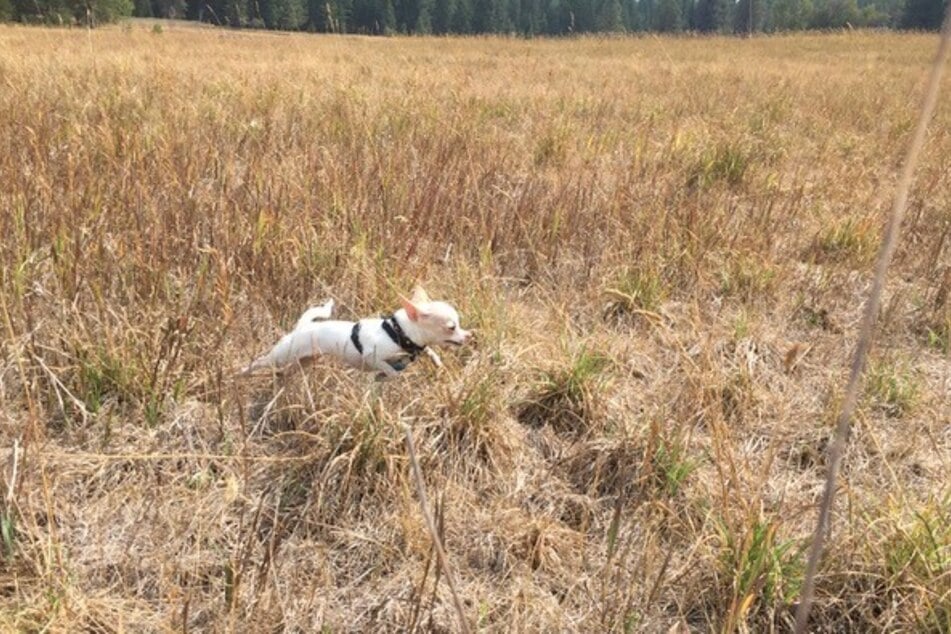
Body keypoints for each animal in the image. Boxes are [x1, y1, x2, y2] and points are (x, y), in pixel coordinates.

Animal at [242, 286, 472, 376]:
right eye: (451, 327)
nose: (468, 336)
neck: (398, 333)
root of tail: (304, 326)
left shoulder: (415, 348)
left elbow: (429, 351)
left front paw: (436, 360)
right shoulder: (373, 355)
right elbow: (389, 370)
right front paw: (388, 375)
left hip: (306, 360)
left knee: (288, 371)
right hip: (282, 355)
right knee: (261, 361)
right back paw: (243, 371)